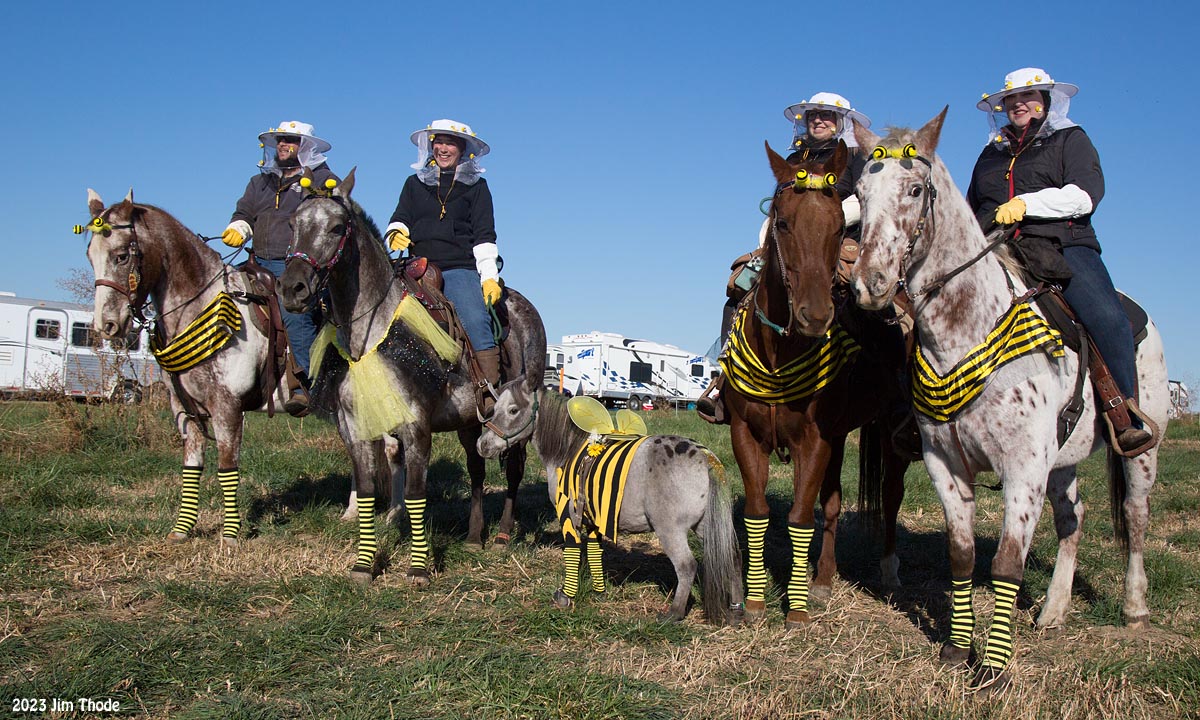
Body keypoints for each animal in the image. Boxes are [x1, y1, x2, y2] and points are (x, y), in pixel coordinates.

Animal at [84, 188, 297, 549]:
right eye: (90, 255)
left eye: (121, 256)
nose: (106, 326)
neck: (204, 307)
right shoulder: (186, 409)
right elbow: (192, 466)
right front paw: (182, 529)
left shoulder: (227, 407)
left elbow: (227, 468)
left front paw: (230, 536)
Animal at [278, 170, 547, 585]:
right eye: (293, 224)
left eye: (337, 227)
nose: (293, 289)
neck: (374, 332)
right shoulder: (357, 427)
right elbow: (368, 489)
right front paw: (364, 565)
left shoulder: (416, 427)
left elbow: (416, 491)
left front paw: (418, 569)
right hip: (470, 423)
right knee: (476, 470)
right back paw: (474, 536)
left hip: (514, 425)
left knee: (514, 472)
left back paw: (502, 535)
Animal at [724, 140, 912, 624]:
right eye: (783, 222)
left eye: (837, 227)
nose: (815, 315)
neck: (779, 353)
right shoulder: (745, 434)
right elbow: (758, 511)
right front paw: (755, 602)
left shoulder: (814, 439)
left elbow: (801, 516)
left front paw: (797, 609)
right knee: (834, 501)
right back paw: (822, 576)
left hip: (889, 432)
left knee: (887, 496)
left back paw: (883, 571)